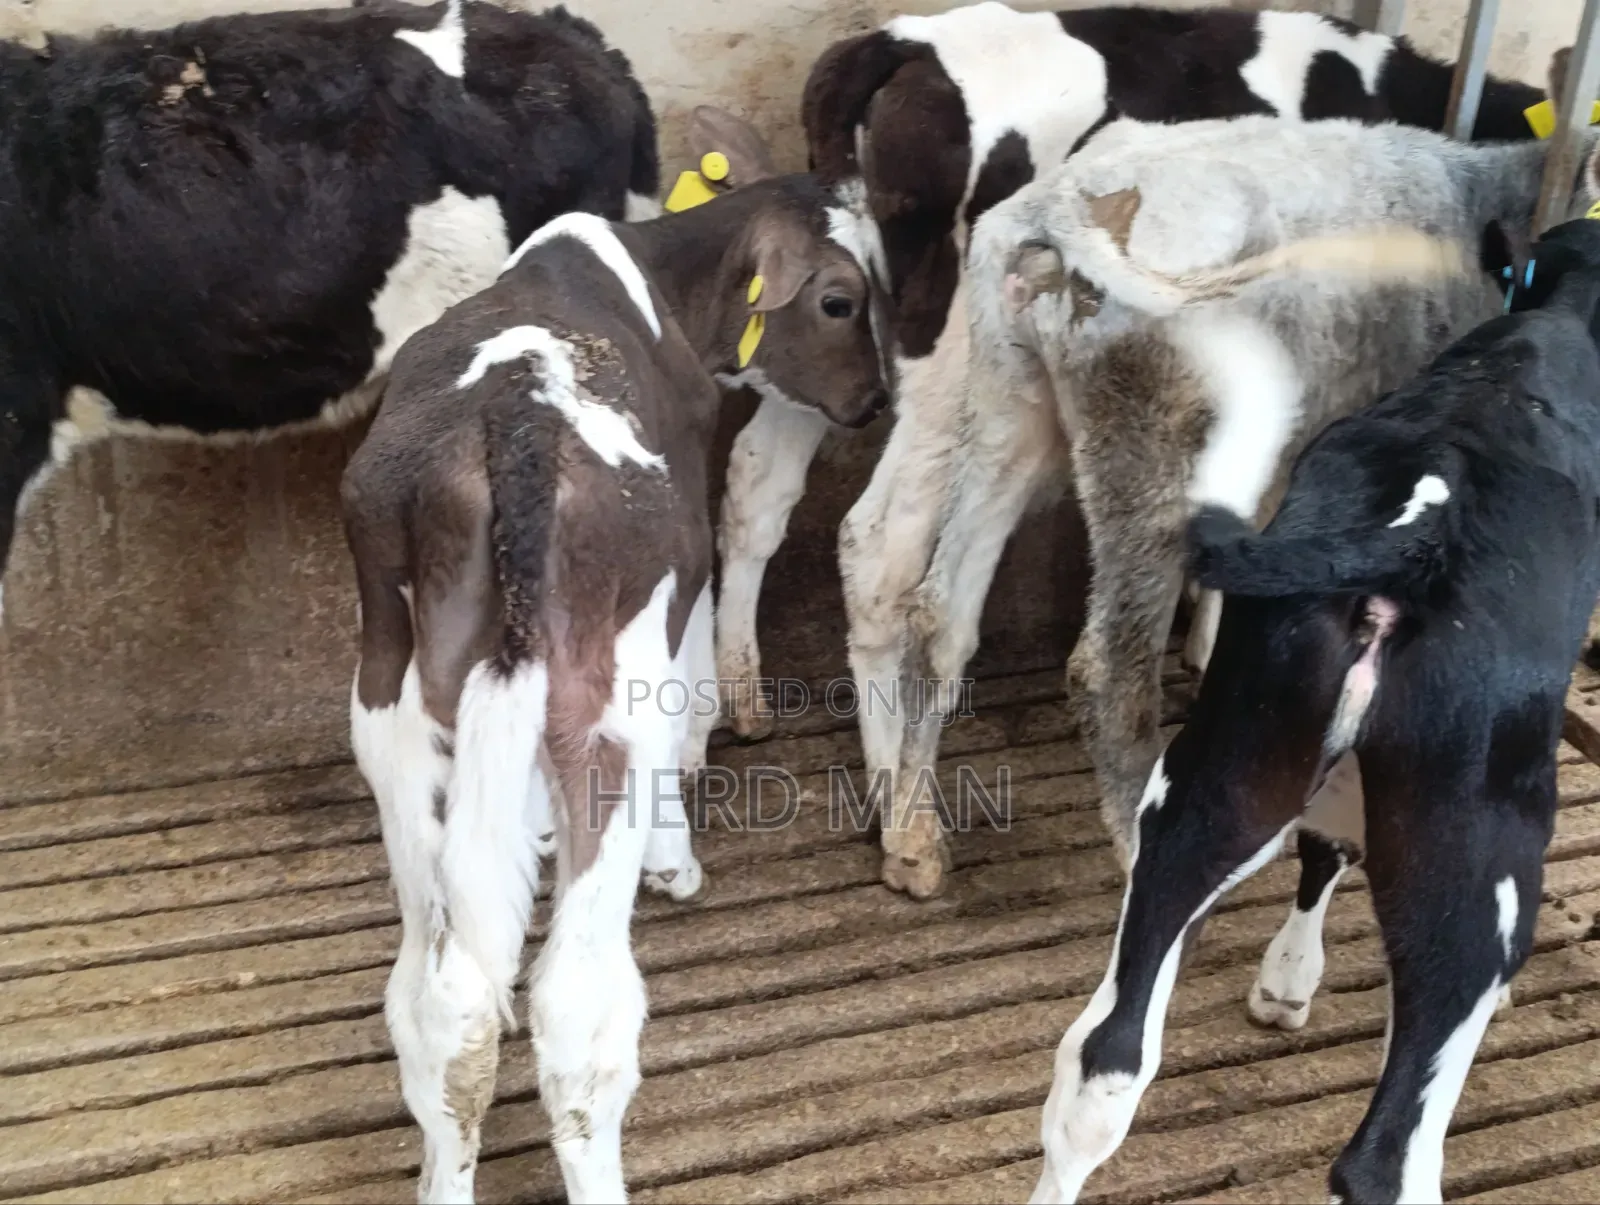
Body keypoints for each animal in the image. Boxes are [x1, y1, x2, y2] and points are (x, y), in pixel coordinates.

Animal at [339, 106, 886, 1205]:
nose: (877, 399)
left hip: (394, 707)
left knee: (439, 999)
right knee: (576, 1011)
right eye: (841, 300)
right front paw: (676, 860)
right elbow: (696, 698)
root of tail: (512, 423)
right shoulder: (685, 580)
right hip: (605, 716)